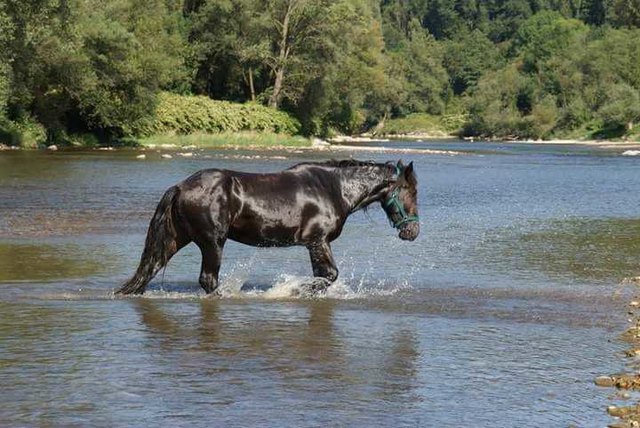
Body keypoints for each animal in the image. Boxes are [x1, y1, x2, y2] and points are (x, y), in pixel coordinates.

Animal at [115, 159, 420, 296]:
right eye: (412, 191)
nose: (413, 232)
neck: (333, 189)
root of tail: (181, 186)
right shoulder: (317, 241)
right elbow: (329, 275)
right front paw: (291, 290)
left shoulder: (316, 245)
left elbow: (324, 277)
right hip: (212, 242)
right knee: (208, 280)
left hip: (177, 239)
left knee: (150, 269)